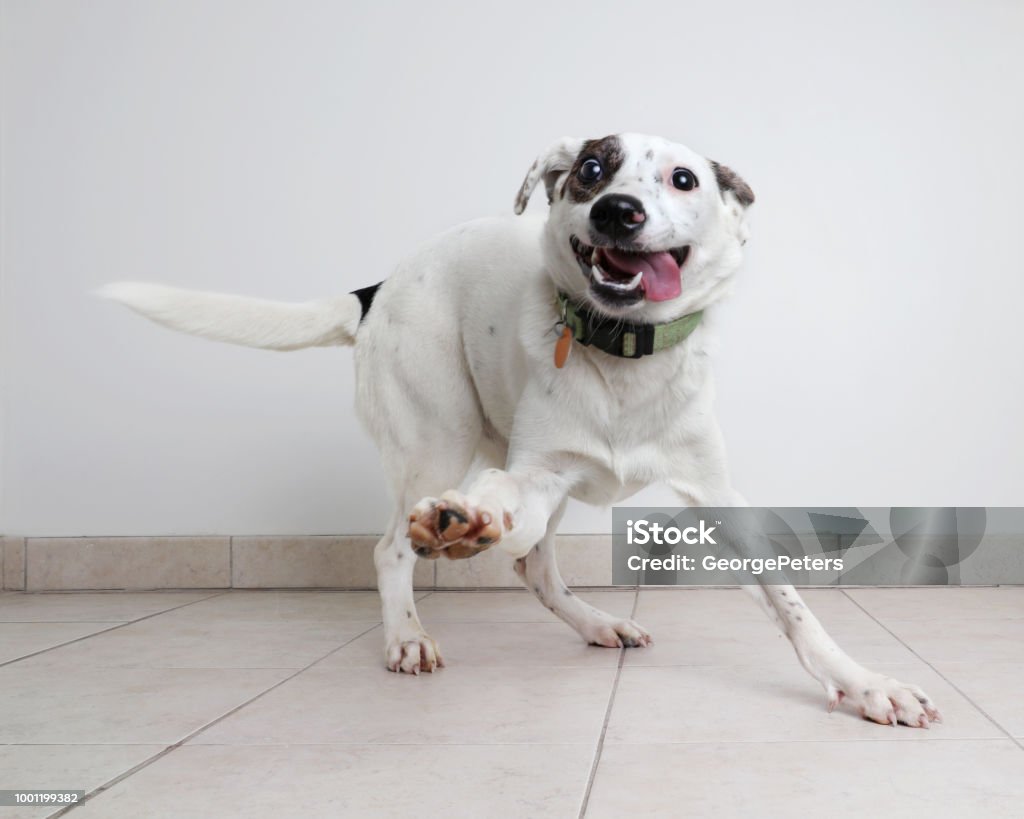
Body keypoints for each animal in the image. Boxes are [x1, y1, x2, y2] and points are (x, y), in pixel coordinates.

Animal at [103, 134, 942, 728]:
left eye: (683, 179)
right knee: (396, 546)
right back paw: (410, 627)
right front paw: (464, 520)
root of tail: (379, 285)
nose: (616, 211)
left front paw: (866, 683)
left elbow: (791, 603)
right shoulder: (536, 470)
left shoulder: (718, 494)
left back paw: (596, 621)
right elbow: (498, 505)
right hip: (435, 434)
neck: (622, 352)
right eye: (594, 168)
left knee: (533, 565)